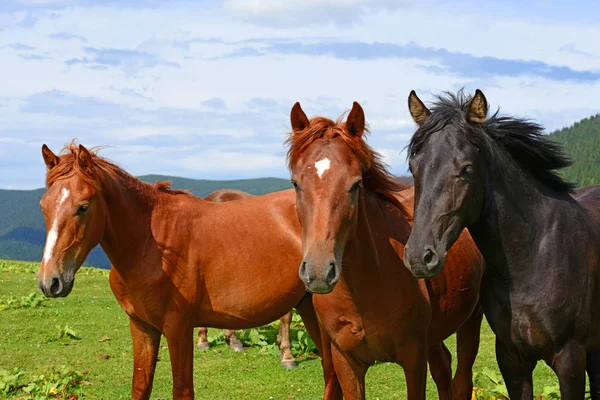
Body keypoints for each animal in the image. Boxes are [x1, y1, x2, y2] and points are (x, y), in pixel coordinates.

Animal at [284, 103, 482, 400]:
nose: (318, 272)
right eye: (296, 183)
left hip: (471, 320)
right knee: (443, 368)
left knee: (461, 380)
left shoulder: (413, 358)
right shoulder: (346, 362)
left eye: (355, 184)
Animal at [404, 88, 600, 400]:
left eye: (466, 168)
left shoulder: (570, 359)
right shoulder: (511, 359)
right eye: (414, 168)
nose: (418, 257)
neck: (534, 257)